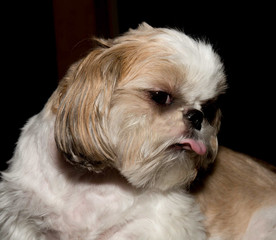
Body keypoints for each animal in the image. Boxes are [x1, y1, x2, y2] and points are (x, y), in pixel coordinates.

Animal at [0, 23, 274, 240]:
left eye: (208, 108)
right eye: (161, 96)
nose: (197, 117)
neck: (88, 181)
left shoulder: (155, 223)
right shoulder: (23, 222)